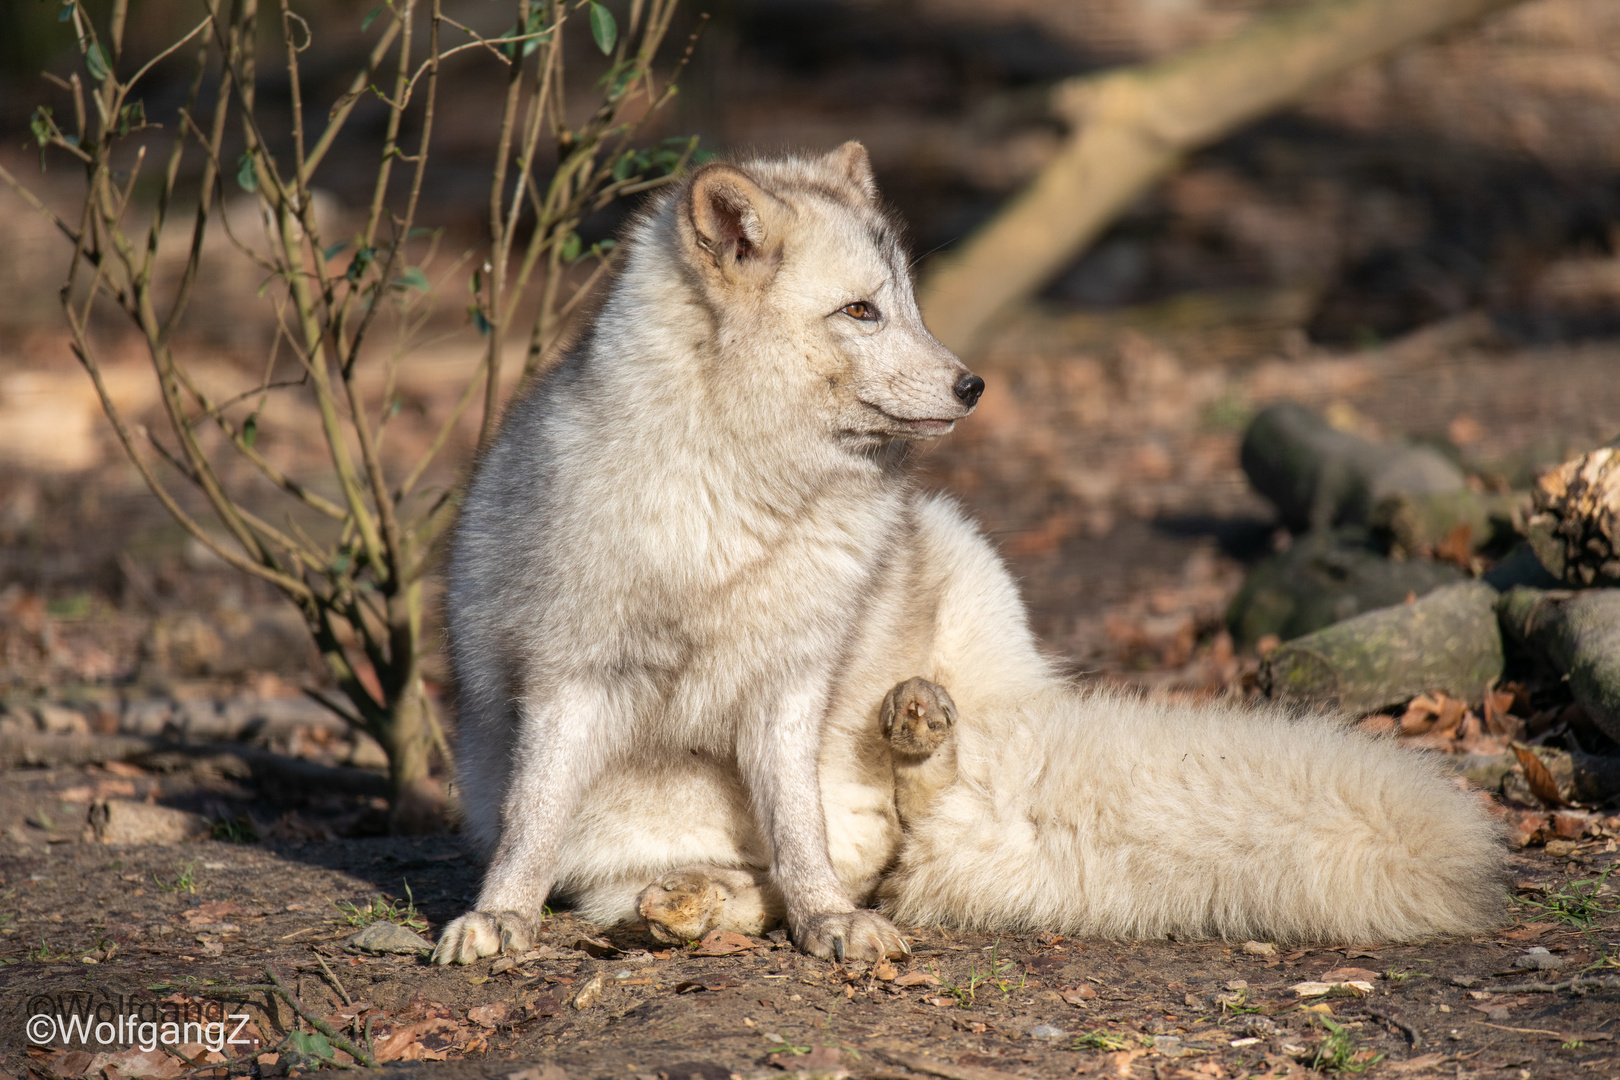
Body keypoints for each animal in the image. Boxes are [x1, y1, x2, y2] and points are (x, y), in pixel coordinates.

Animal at [434, 143, 1503, 965]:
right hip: (616, 848)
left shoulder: (791, 685)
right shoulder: (572, 677)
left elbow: (799, 842)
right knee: (832, 862)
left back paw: (905, 751)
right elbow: (533, 822)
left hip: (955, 552)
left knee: (880, 849)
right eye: (860, 311)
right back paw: (692, 902)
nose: (972, 385)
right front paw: (500, 917)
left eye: (908, 305)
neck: (746, 500)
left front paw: (827, 925)